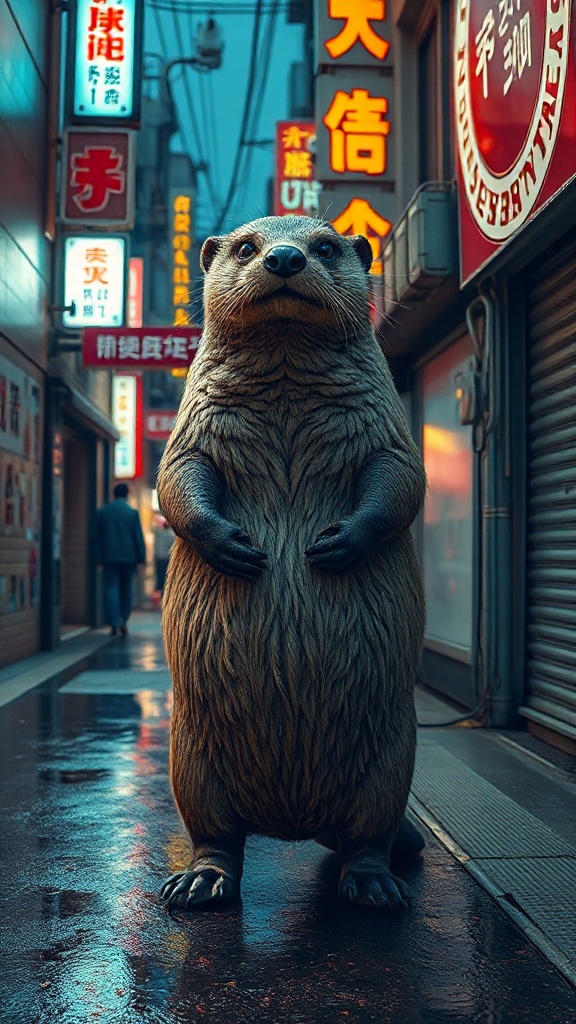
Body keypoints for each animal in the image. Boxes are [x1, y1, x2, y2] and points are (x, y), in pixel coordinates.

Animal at [157, 216, 426, 911]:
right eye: (246, 245)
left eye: (326, 246)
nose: (284, 257)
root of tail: (295, 823)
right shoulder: (193, 426)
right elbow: (176, 480)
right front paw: (234, 546)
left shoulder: (387, 427)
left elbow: (401, 481)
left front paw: (337, 544)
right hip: (189, 759)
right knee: (216, 834)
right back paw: (200, 881)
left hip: (393, 759)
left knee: (368, 835)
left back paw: (374, 886)